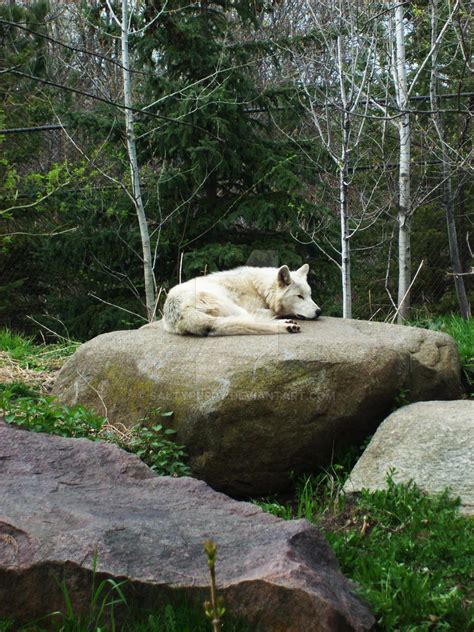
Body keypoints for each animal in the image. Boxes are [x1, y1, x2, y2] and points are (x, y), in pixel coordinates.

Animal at [163, 264, 322, 336]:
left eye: (309, 295)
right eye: (299, 296)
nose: (319, 311)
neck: (260, 289)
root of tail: (180, 313)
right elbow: (271, 312)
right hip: (235, 308)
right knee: (253, 321)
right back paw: (287, 325)